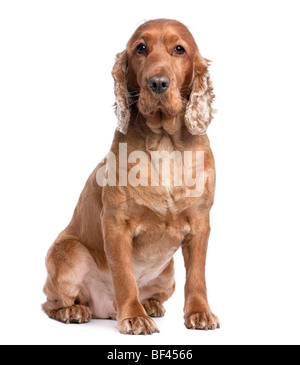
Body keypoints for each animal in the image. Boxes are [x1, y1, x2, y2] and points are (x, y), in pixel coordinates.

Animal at [42, 19, 219, 332]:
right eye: (141, 48)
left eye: (179, 49)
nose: (158, 82)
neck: (164, 144)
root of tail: (104, 309)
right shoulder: (116, 224)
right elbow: (124, 276)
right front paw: (134, 317)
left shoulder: (200, 223)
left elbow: (197, 276)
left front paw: (199, 313)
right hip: (68, 253)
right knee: (51, 302)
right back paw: (75, 311)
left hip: (168, 273)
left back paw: (151, 304)